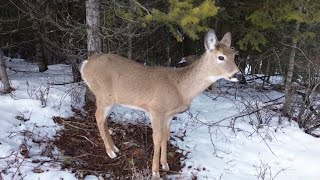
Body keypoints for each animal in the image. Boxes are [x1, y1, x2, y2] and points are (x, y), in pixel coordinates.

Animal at [81, 29, 241, 179]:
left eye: (234, 56)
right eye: (221, 57)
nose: (238, 75)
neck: (181, 89)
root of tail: (85, 65)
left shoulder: (169, 114)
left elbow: (165, 136)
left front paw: (165, 164)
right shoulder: (156, 109)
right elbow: (157, 138)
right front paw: (155, 172)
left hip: (111, 100)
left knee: (103, 119)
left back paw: (115, 148)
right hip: (103, 96)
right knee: (98, 117)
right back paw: (110, 152)